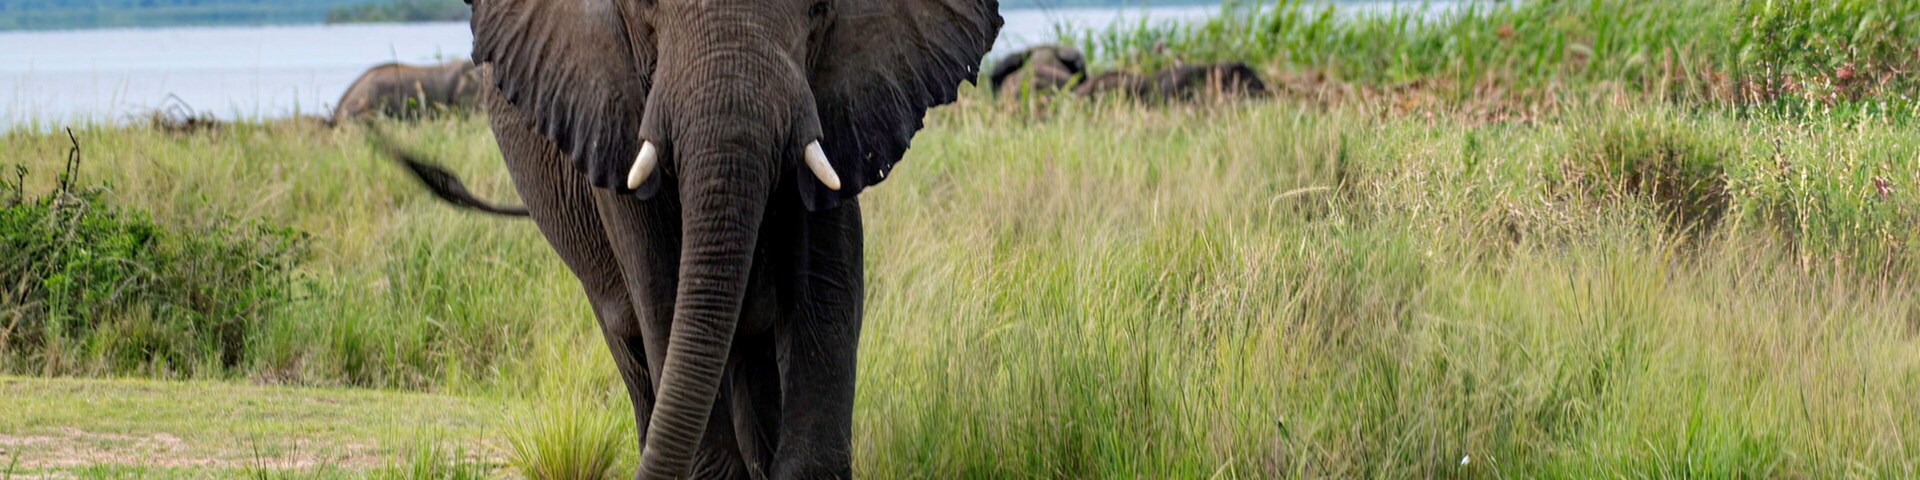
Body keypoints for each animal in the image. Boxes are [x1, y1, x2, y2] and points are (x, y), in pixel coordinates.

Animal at [379, 0, 1003, 478]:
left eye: (819, 9)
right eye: (643, 9)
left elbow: (828, 282)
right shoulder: (609, 107)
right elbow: (660, 286)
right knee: (636, 348)